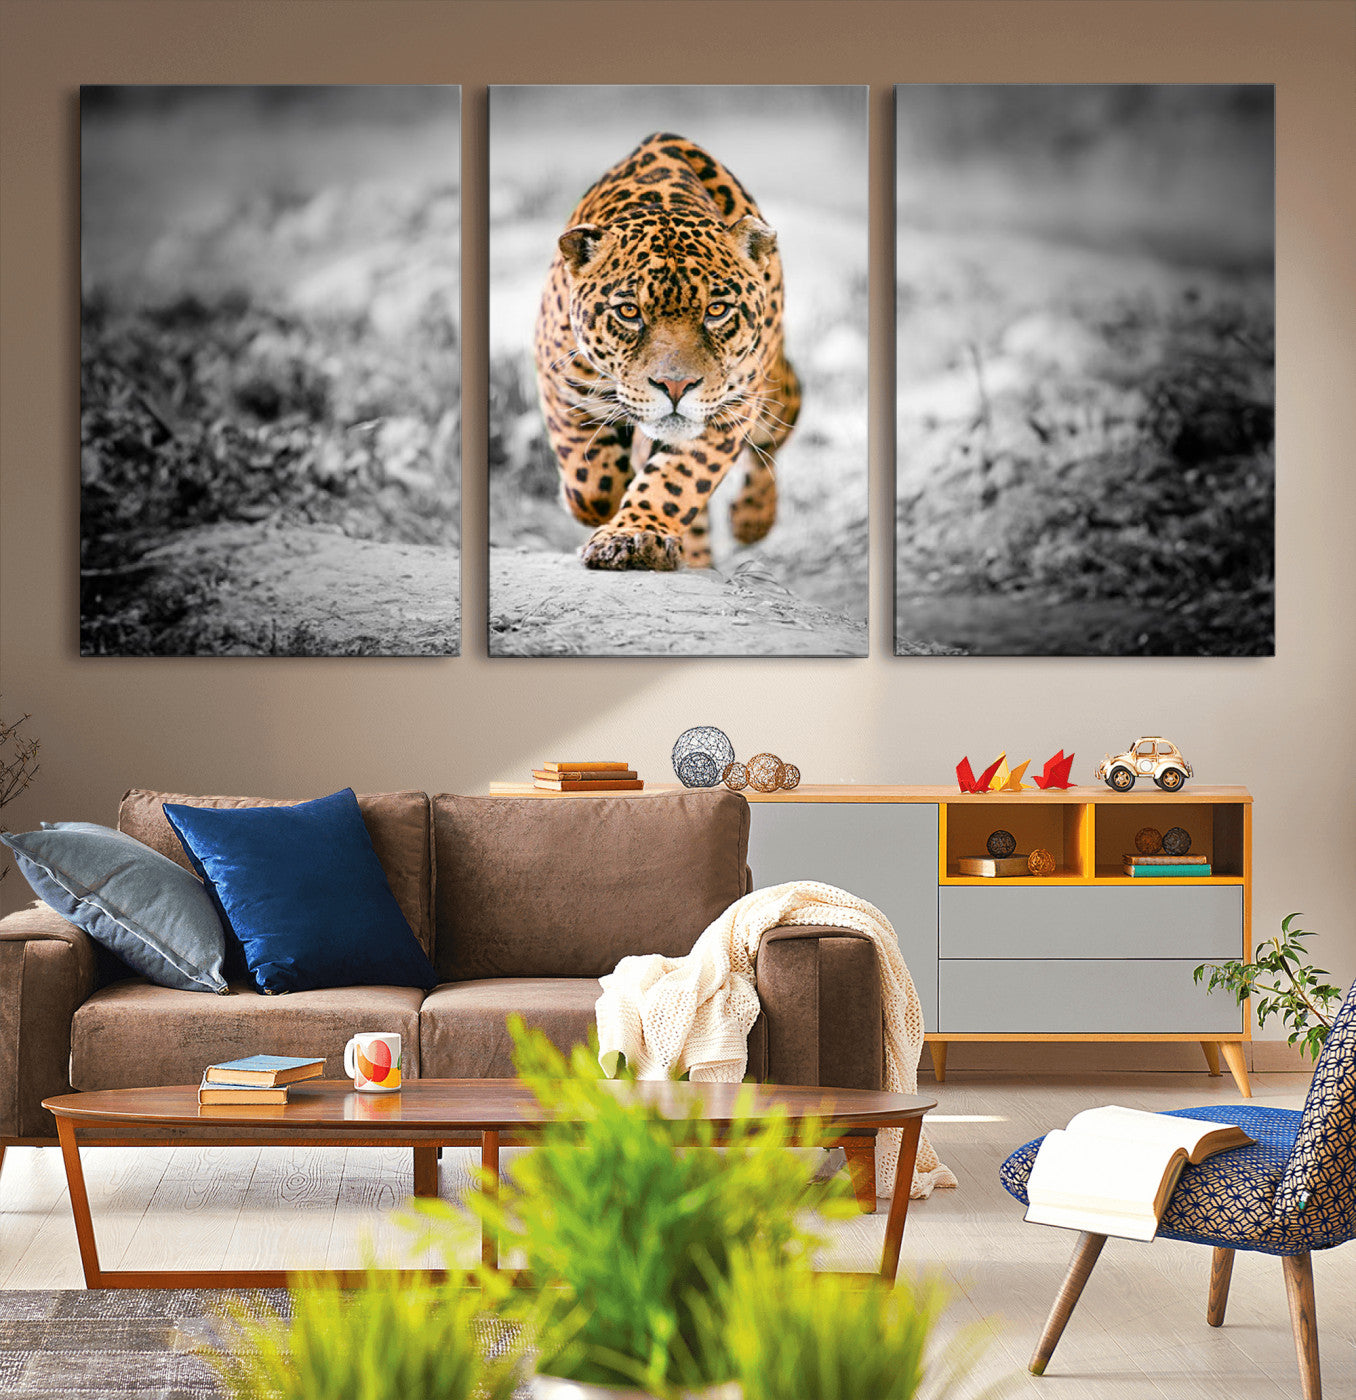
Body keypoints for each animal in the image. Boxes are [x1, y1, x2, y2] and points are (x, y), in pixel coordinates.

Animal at [533, 132, 801, 570]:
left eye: (716, 310)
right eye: (629, 312)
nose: (676, 387)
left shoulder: (731, 408)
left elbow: (678, 480)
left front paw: (634, 535)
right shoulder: (562, 381)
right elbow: (591, 483)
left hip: (772, 393)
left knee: (774, 435)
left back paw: (752, 519)